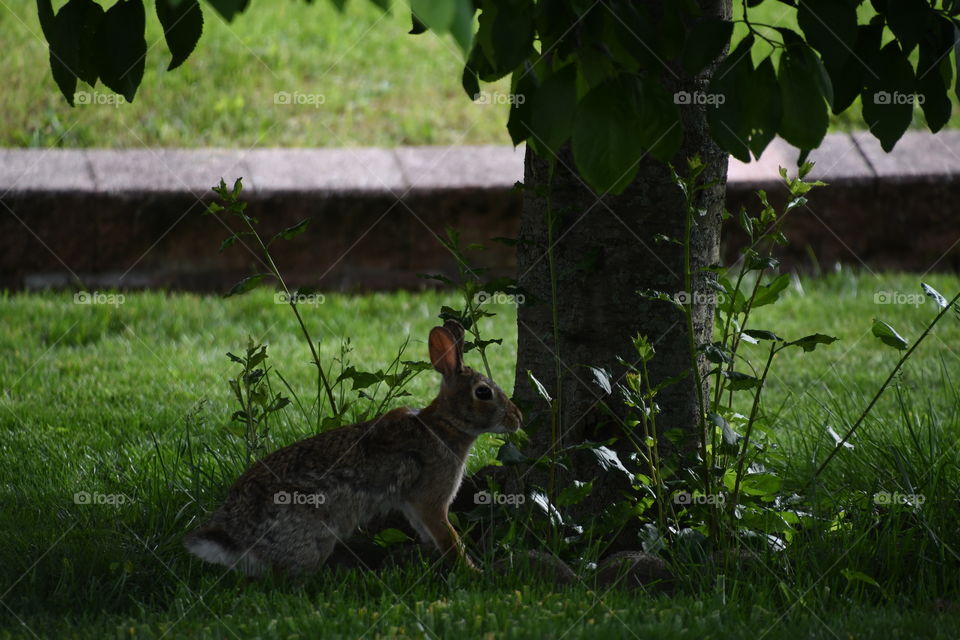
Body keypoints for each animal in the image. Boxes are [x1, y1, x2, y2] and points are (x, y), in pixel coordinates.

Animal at [184, 320, 520, 576]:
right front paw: (471, 570)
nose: (517, 418)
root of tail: (232, 539)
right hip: (313, 537)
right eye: (484, 392)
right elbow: (446, 535)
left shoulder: (411, 504)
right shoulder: (431, 500)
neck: (445, 425)